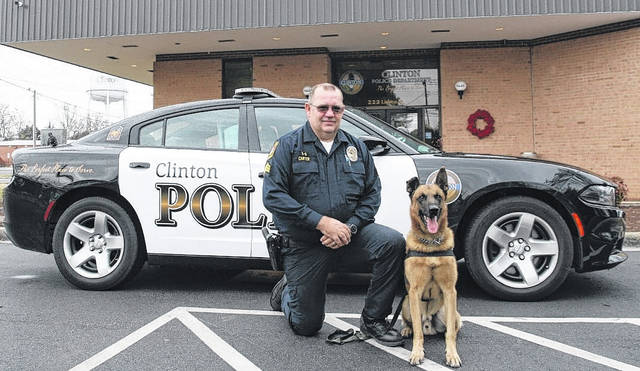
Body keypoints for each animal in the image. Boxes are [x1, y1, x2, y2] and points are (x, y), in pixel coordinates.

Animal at [400, 169, 460, 370]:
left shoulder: (450, 291)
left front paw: (452, 354)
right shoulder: (414, 291)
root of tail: (429, 323)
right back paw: (406, 329)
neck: (431, 244)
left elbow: (450, 334)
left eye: (438, 197)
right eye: (421, 197)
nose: (433, 209)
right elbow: (418, 333)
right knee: (414, 325)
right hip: (406, 304)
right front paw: (417, 352)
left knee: (451, 329)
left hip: (451, 312)